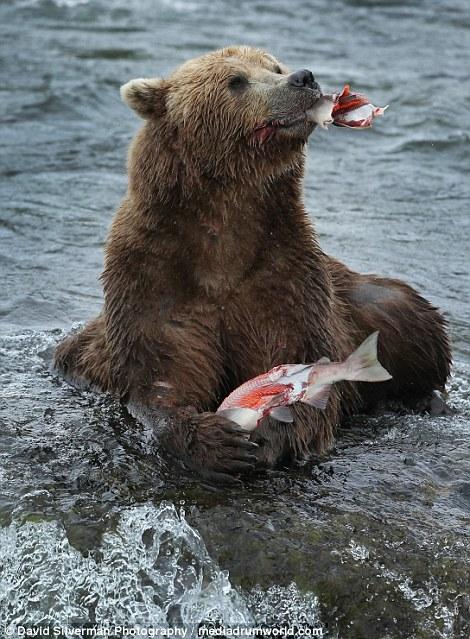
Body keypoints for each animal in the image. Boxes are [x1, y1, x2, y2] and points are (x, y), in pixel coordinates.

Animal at [54, 45, 452, 484]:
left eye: (273, 66)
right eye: (236, 81)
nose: (303, 77)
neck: (223, 233)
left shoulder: (283, 274)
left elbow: (296, 356)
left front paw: (268, 436)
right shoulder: (153, 276)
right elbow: (163, 374)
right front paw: (215, 442)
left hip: (378, 305)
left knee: (407, 316)